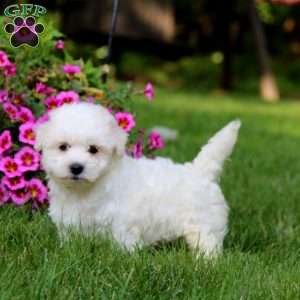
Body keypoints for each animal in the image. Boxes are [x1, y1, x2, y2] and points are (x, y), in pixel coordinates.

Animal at [35, 103, 241, 258]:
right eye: (63, 147)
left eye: (93, 149)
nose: (76, 167)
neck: (86, 189)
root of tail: (200, 171)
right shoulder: (69, 224)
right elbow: (71, 242)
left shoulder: (122, 225)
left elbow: (123, 246)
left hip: (204, 223)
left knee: (207, 244)